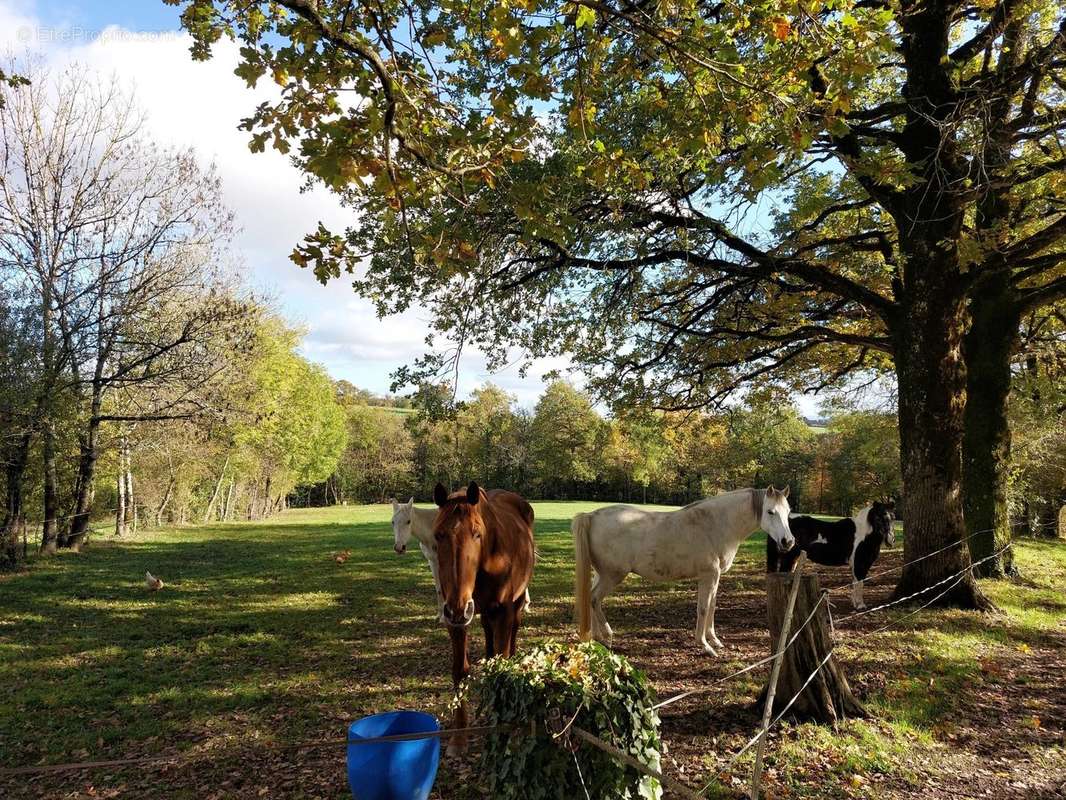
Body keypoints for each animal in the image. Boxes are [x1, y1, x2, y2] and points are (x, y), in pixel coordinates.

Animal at [388, 499, 528, 622]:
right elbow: (438, 588)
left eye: (408, 521)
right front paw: (440, 615)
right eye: (393, 522)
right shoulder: (433, 562)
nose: (399, 548)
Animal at [430, 482, 533, 759]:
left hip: (514, 607)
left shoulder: (504, 611)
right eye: (438, 535)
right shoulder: (456, 618)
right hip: (483, 613)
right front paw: (459, 739)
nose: (457, 607)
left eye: (477, 534)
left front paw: (503, 730)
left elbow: (502, 664)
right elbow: (460, 670)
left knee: (510, 640)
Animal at [575, 488, 793, 657]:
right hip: (613, 575)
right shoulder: (707, 576)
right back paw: (607, 636)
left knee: (590, 599)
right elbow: (703, 609)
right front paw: (705, 646)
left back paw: (596, 639)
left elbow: (712, 607)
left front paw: (715, 641)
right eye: (770, 511)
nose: (788, 542)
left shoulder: (715, 578)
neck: (715, 524)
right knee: (594, 599)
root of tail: (591, 516)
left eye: (789, 511)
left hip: (601, 574)